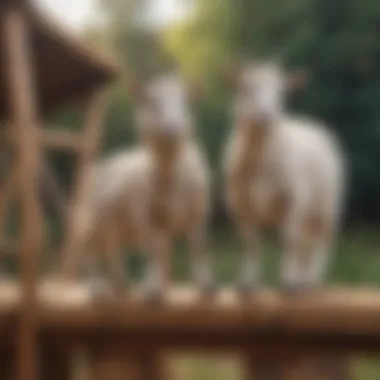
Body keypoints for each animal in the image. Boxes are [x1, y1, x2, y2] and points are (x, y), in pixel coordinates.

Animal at [77, 73, 214, 300]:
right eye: (153, 103)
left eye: (184, 103)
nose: (174, 128)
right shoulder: (146, 214)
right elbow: (154, 249)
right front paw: (153, 289)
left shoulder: (198, 213)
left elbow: (198, 247)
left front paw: (204, 286)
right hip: (93, 219)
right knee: (89, 250)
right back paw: (98, 288)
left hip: (117, 225)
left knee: (111, 249)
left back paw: (120, 286)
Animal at [224, 60, 346, 290]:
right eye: (248, 88)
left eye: (281, 92)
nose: (267, 115)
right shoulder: (241, 205)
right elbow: (251, 243)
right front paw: (248, 282)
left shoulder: (294, 199)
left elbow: (289, 240)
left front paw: (288, 281)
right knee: (306, 242)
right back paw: (304, 278)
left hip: (327, 205)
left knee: (322, 240)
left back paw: (312, 278)